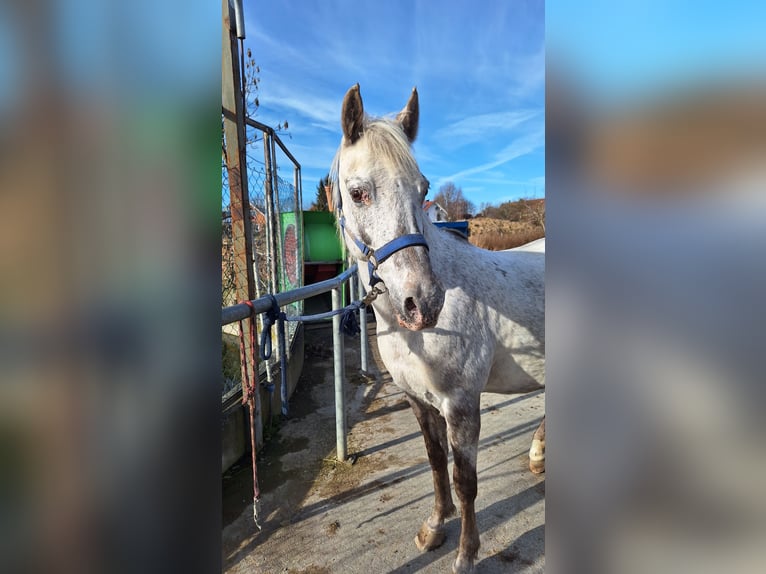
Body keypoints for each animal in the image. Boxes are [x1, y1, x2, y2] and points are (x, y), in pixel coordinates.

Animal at [330, 84, 545, 574]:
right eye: (357, 193)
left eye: (423, 188)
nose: (423, 301)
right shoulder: (418, 399)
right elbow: (433, 461)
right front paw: (433, 526)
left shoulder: (462, 405)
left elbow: (465, 480)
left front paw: (465, 554)